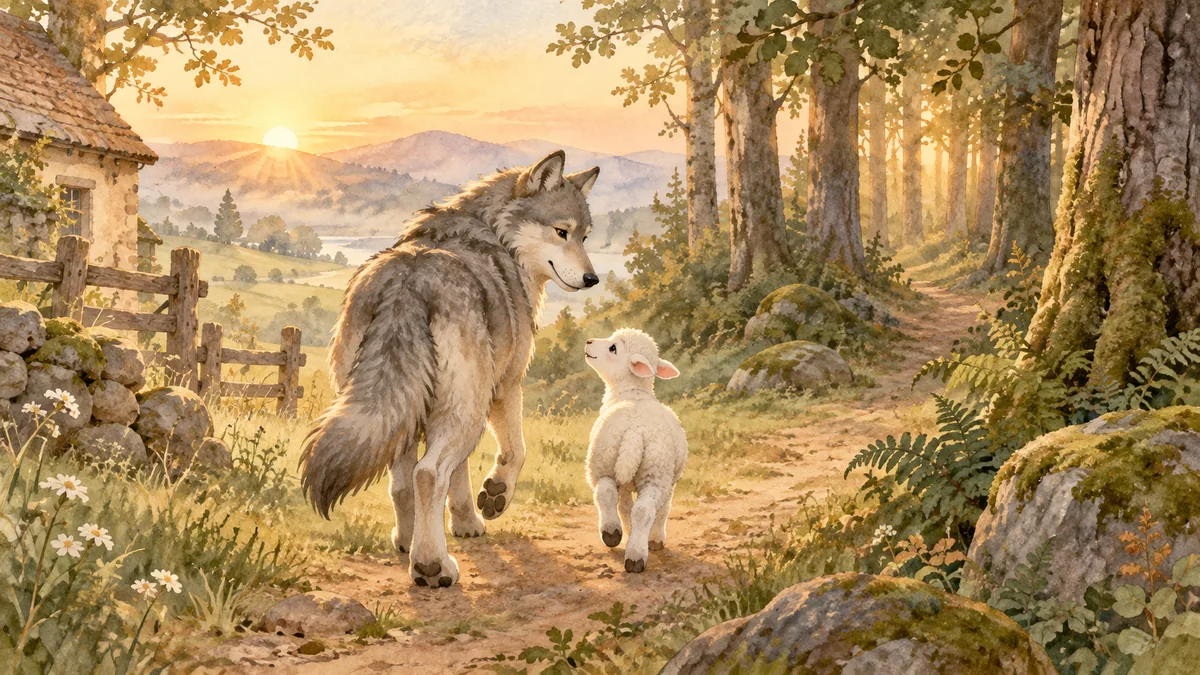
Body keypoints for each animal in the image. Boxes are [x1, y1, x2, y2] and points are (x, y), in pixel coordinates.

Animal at [300, 151, 600, 587]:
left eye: (585, 237)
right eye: (562, 232)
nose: (593, 278)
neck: (498, 235)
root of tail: (407, 283)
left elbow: (455, 475)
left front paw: (464, 523)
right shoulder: (505, 386)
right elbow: (514, 452)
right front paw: (493, 499)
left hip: (396, 416)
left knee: (404, 482)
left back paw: (409, 544)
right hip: (466, 412)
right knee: (427, 474)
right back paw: (432, 566)